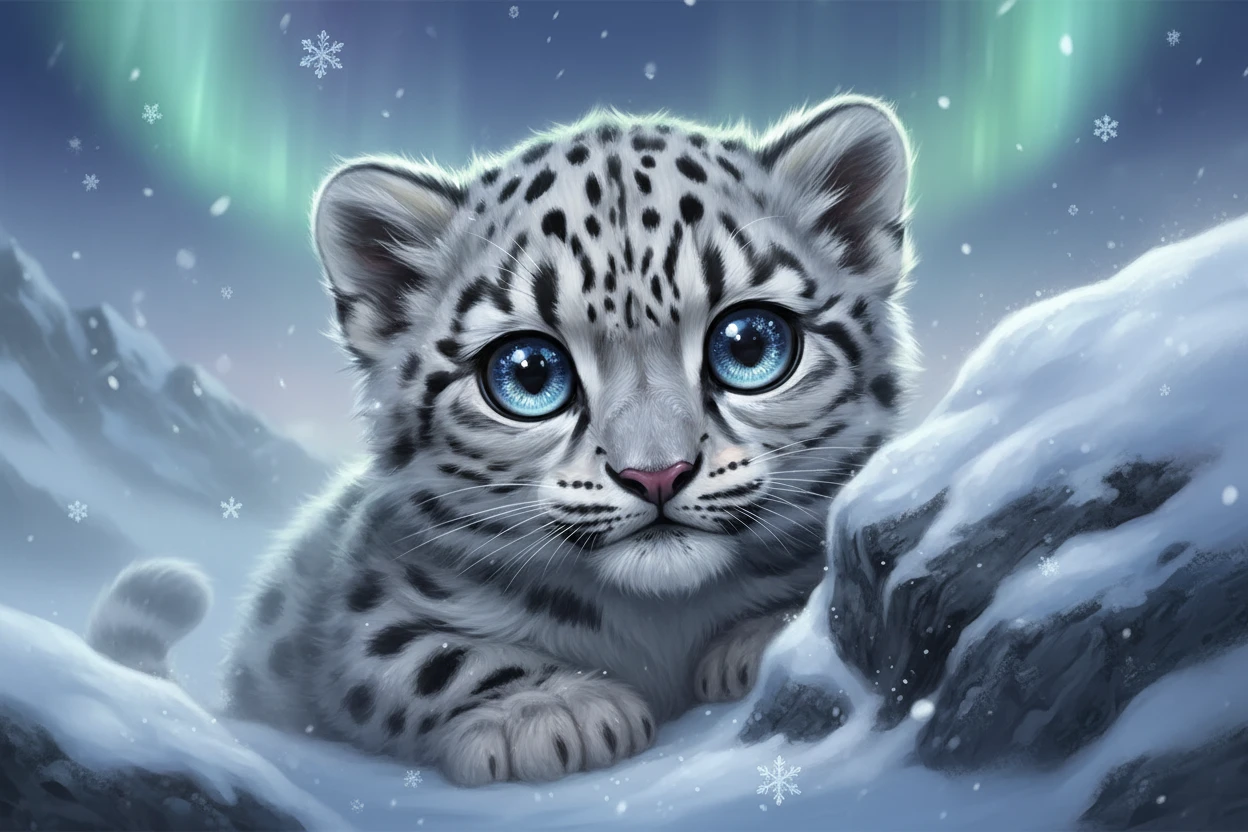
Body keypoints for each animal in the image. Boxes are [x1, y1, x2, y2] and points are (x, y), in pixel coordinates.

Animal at [85, 93, 919, 787]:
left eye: (749, 345)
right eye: (528, 371)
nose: (657, 473)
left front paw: (763, 640)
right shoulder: (365, 605)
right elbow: (423, 657)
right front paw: (549, 714)